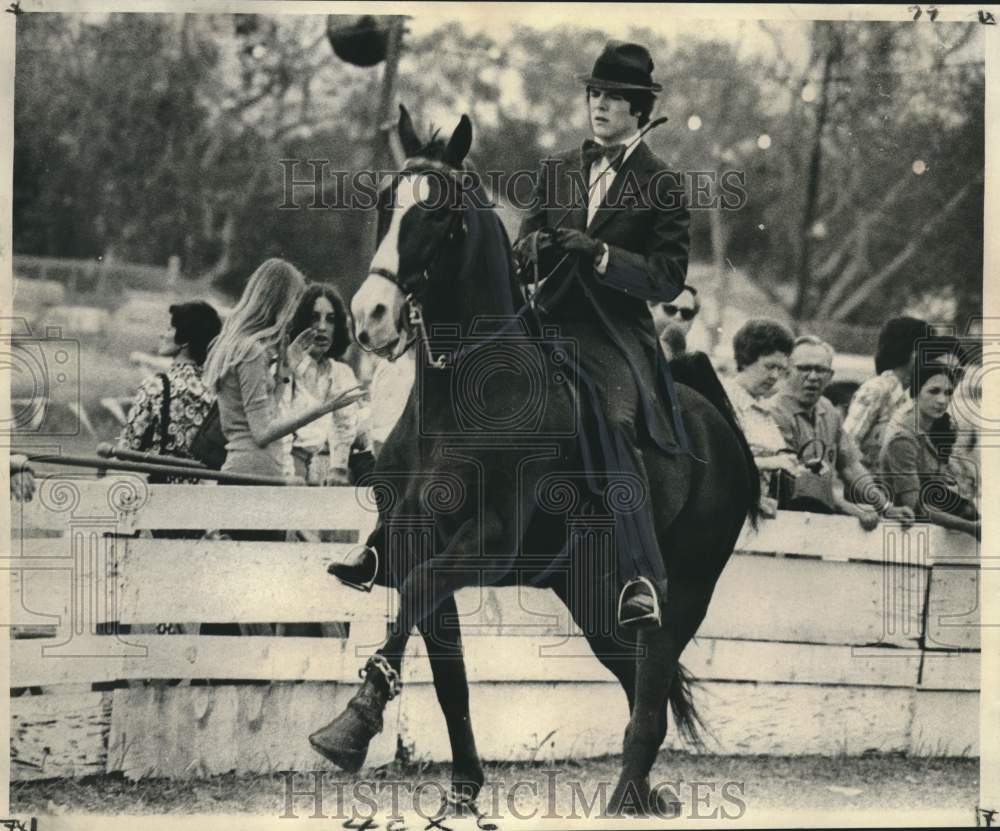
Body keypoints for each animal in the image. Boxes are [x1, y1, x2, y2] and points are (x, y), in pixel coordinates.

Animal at [308, 107, 752, 824]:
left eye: (438, 212)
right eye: (384, 200)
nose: (370, 316)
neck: (468, 395)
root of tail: (722, 427)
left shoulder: (485, 545)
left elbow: (417, 596)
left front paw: (353, 724)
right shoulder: (412, 538)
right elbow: (447, 671)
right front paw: (463, 787)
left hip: (677, 595)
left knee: (650, 697)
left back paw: (625, 797)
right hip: (594, 596)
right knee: (638, 685)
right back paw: (644, 794)